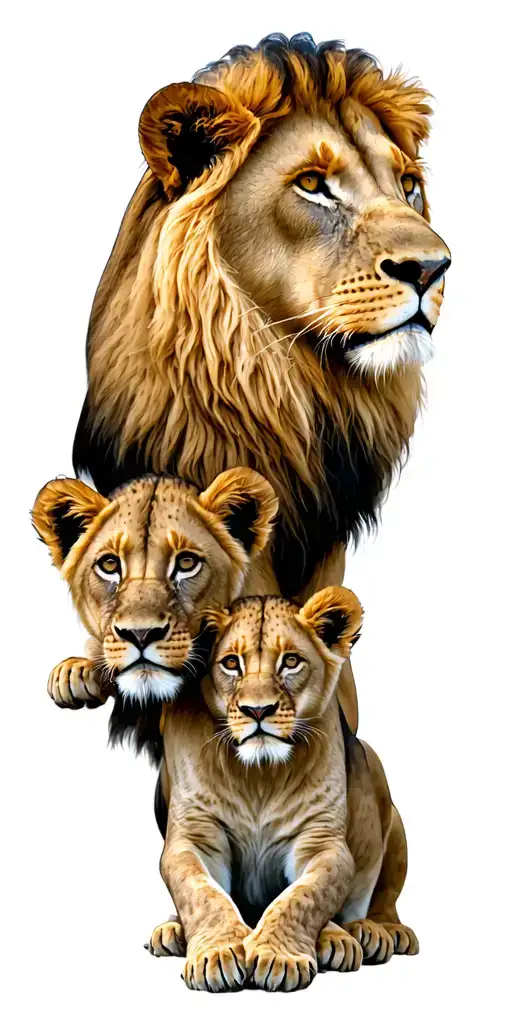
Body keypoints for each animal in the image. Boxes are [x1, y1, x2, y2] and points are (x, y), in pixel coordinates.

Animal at [147, 587, 417, 992]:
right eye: (231, 663)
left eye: (290, 661)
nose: (258, 711)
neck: (259, 777)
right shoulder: (195, 836)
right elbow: (201, 893)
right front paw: (218, 954)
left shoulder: (322, 841)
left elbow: (304, 897)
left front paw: (278, 956)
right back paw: (171, 931)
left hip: (387, 803)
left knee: (381, 896)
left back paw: (371, 931)